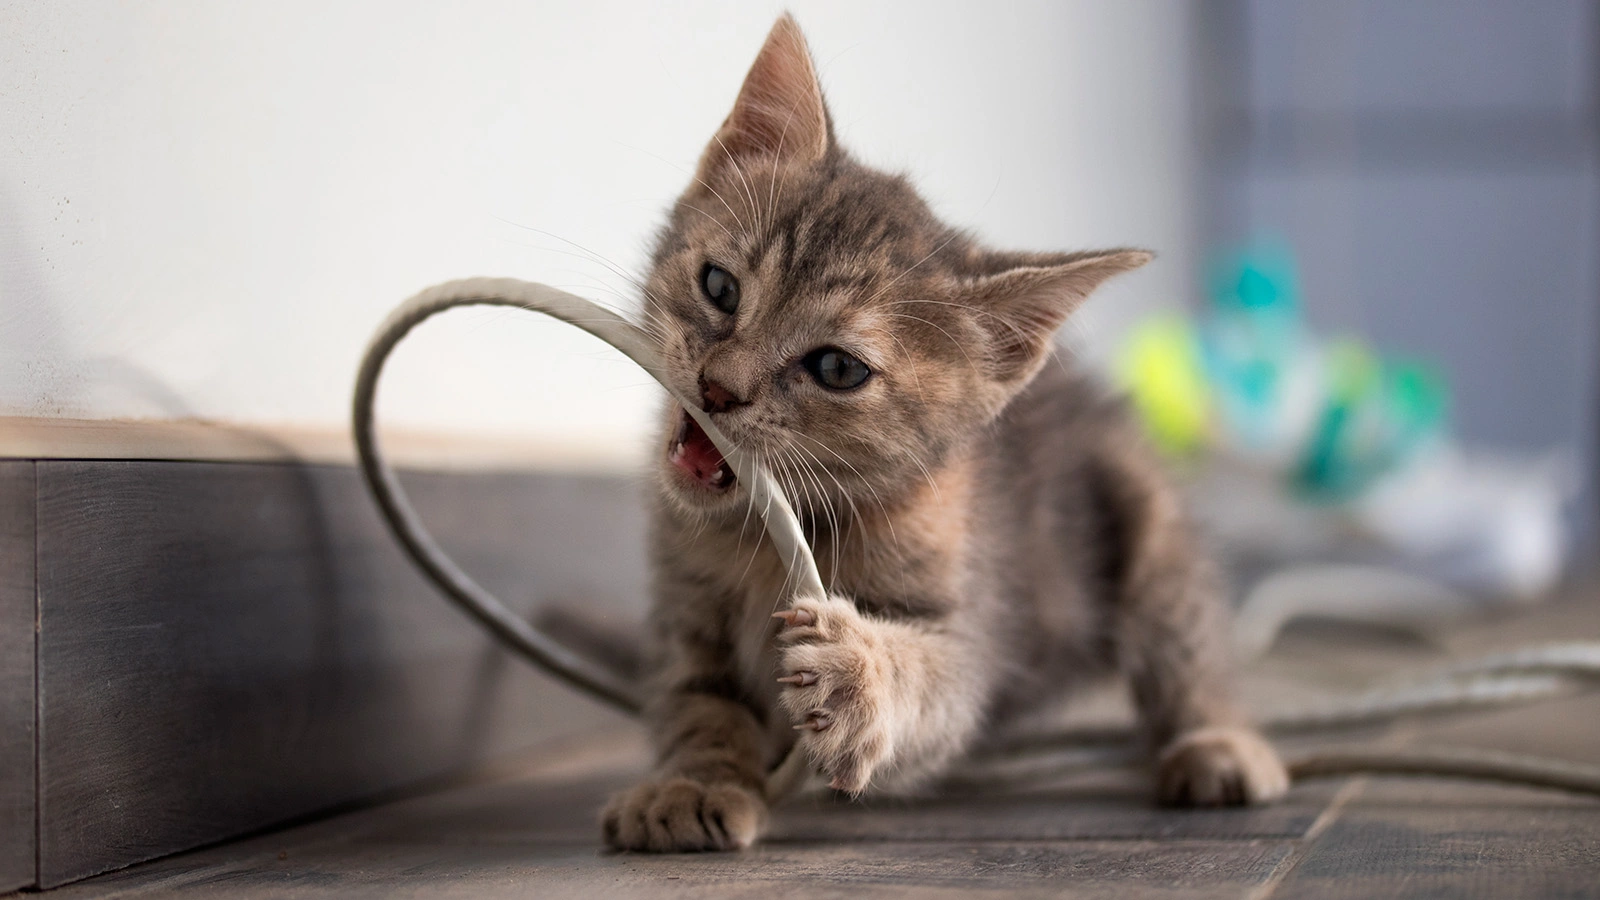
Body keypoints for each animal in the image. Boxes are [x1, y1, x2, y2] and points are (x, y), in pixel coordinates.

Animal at [601, 14, 1286, 845]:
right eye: (720, 287)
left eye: (837, 368)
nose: (716, 388)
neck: (765, 535)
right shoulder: (684, 610)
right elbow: (698, 701)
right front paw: (694, 783)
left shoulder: (972, 634)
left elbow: (933, 684)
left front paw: (860, 674)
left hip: (1145, 510)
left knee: (1187, 630)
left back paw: (1217, 740)